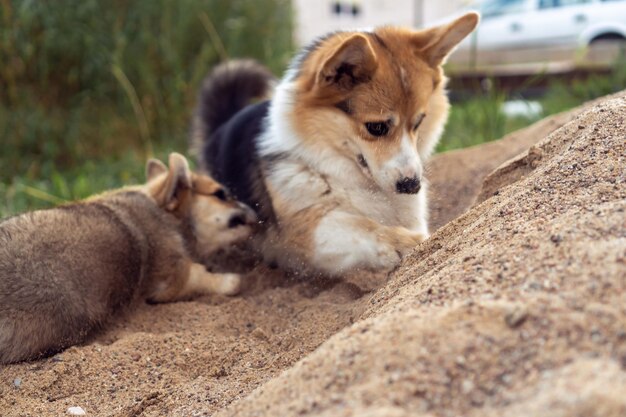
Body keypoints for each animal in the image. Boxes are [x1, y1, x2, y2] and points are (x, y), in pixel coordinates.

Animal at [0, 154, 256, 364]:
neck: (161, 210)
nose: (256, 210)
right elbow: (220, 280)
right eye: (221, 194)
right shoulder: (176, 280)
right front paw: (238, 278)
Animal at [193, 13, 476, 274]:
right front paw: (404, 242)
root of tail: (223, 123)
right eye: (376, 127)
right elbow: (362, 228)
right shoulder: (305, 230)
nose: (412, 186)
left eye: (419, 122)